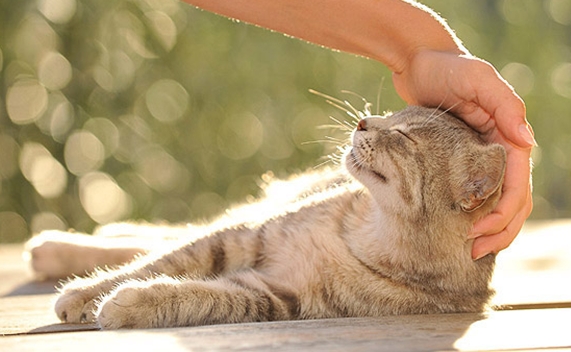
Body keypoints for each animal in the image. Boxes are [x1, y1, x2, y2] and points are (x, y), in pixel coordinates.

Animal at [25, 104, 504, 330]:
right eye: (391, 113)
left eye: (403, 134)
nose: (364, 122)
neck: (370, 230)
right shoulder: (244, 237)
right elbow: (161, 262)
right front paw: (87, 292)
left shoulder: (281, 298)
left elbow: (199, 295)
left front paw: (134, 301)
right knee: (171, 236)